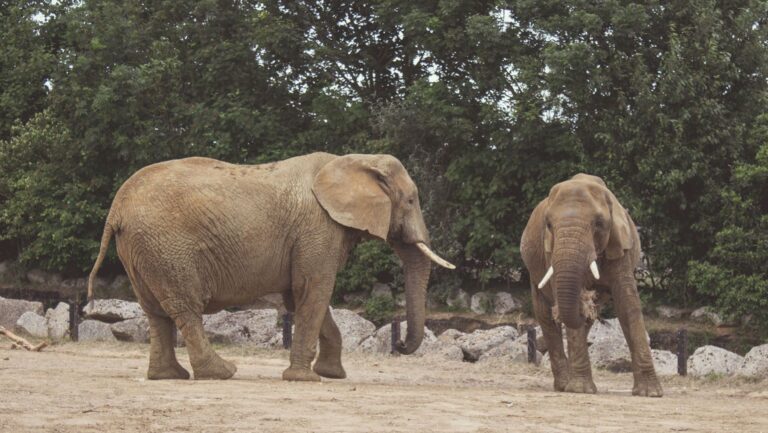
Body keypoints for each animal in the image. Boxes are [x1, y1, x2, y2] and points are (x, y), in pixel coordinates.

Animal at [87, 152, 454, 381]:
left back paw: (169, 376)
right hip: (167, 247)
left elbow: (300, 295)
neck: (355, 160)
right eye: (411, 200)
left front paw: (330, 375)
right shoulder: (316, 228)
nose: (401, 345)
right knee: (185, 308)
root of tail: (116, 208)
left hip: (142, 249)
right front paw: (305, 379)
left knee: (156, 312)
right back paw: (223, 373)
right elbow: (314, 290)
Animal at [520, 173, 662, 397]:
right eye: (548, 224)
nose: (587, 297)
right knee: (544, 314)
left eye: (599, 223)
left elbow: (628, 304)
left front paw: (650, 393)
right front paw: (580, 390)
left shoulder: (621, 248)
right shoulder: (550, 250)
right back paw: (564, 385)